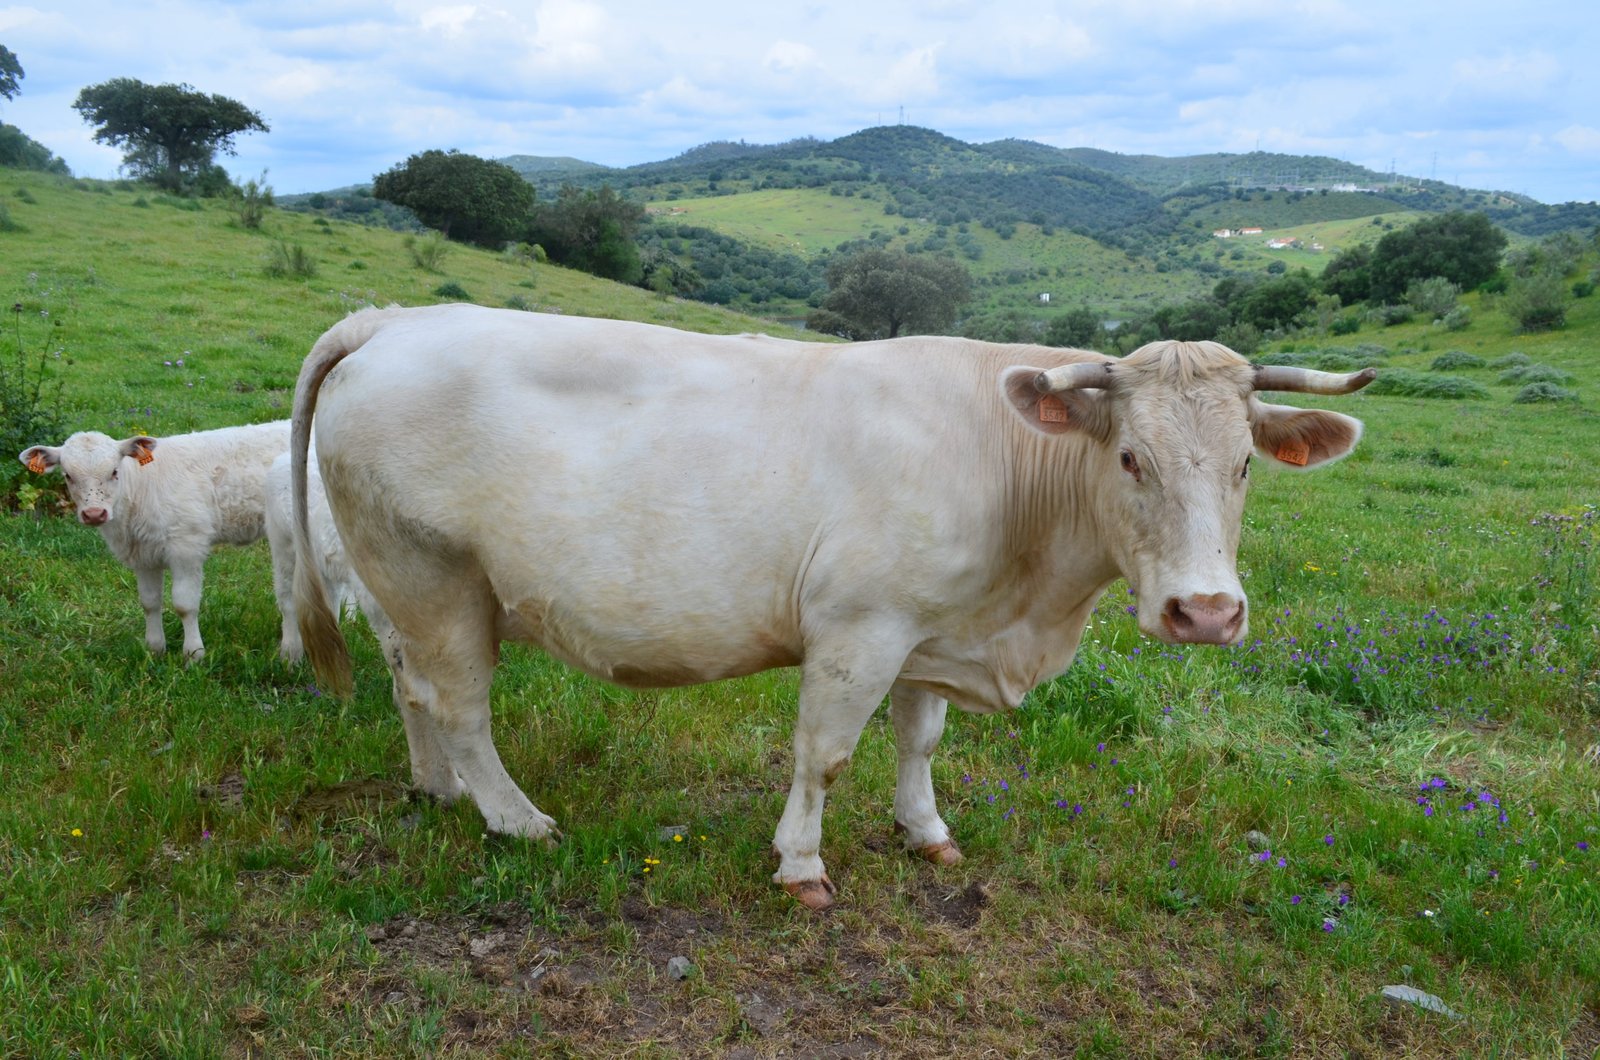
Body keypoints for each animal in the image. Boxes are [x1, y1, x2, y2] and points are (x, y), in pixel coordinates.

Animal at [20, 421, 291, 661]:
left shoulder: (187, 545)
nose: (95, 514)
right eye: (68, 476)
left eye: (114, 471)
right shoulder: (142, 554)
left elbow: (184, 604)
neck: (141, 488)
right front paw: (155, 649)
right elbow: (149, 602)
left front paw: (194, 655)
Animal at [289, 304, 1373, 909]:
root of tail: (393, 319)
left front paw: (926, 831)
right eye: (1131, 457)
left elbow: (919, 741)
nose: (1206, 612)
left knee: (413, 689)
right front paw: (801, 864)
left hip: (401, 584)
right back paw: (515, 819)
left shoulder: (933, 630)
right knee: (463, 708)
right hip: (433, 576)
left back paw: (438, 789)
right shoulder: (861, 626)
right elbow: (826, 752)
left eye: (1244, 464)